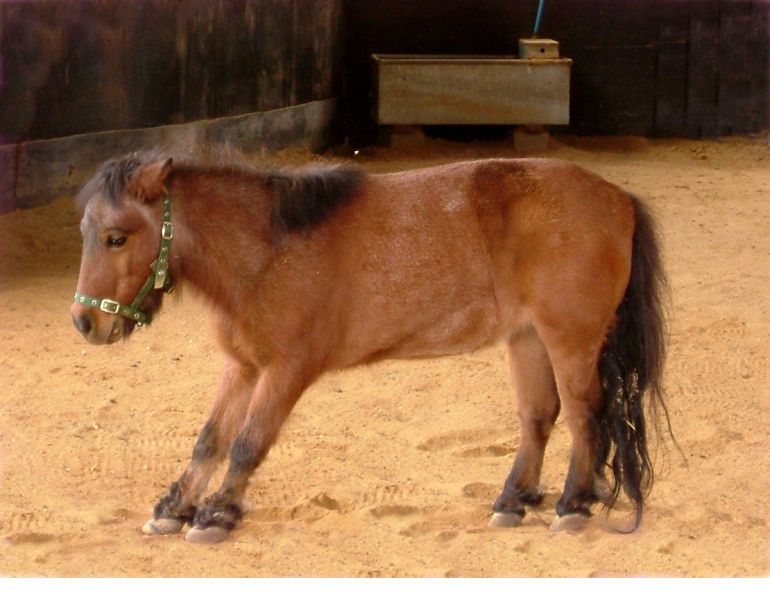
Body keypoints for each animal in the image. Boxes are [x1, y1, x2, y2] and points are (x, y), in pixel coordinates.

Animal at [70, 149, 668, 544]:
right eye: (85, 233)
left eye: (116, 237)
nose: (84, 322)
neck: (268, 248)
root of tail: (618, 198)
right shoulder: (242, 367)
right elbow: (209, 440)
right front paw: (175, 507)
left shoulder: (286, 371)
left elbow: (246, 444)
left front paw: (216, 514)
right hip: (527, 338)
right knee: (538, 417)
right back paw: (512, 502)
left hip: (570, 340)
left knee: (586, 414)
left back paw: (572, 505)